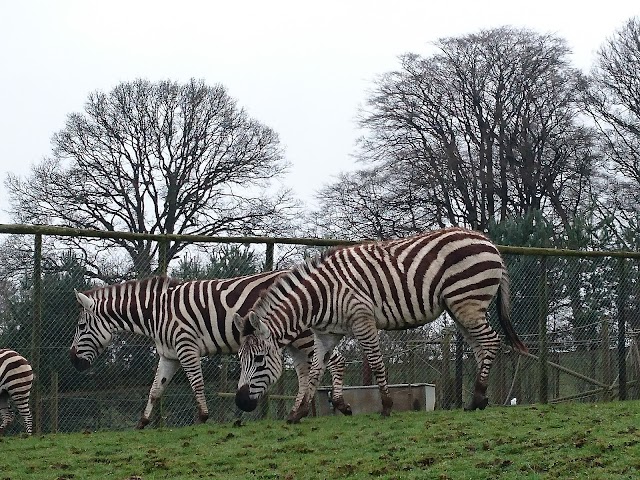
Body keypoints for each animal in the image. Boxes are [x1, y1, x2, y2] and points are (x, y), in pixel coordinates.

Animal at [69, 270, 350, 428]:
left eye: (81, 326)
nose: (72, 360)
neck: (157, 313)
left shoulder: (186, 346)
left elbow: (196, 383)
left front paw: (203, 417)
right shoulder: (168, 355)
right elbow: (155, 390)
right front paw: (143, 422)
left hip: (303, 336)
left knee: (334, 361)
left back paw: (339, 404)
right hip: (291, 340)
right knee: (305, 372)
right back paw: (297, 412)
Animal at [235, 228, 528, 420]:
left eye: (259, 360)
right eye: (240, 360)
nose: (240, 402)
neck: (319, 297)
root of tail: (488, 241)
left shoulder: (362, 319)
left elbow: (376, 363)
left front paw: (386, 406)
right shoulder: (325, 334)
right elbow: (316, 369)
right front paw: (300, 413)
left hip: (467, 301)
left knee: (491, 341)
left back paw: (477, 396)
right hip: (462, 307)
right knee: (481, 346)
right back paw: (478, 401)